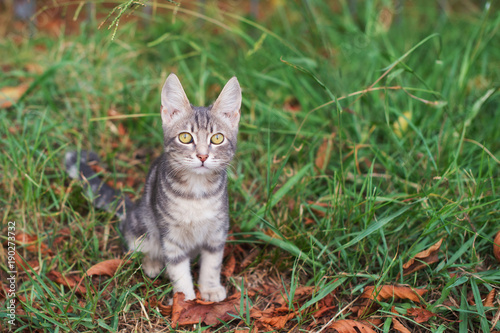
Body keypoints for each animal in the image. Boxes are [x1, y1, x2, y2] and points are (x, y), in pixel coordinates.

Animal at [66, 74, 242, 302]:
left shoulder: (217, 230)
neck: (196, 193)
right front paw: (185, 300)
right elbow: (178, 270)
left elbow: (212, 263)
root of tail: (133, 208)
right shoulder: (171, 235)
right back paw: (152, 263)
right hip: (142, 227)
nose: (202, 156)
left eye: (217, 138)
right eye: (185, 137)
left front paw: (209, 288)